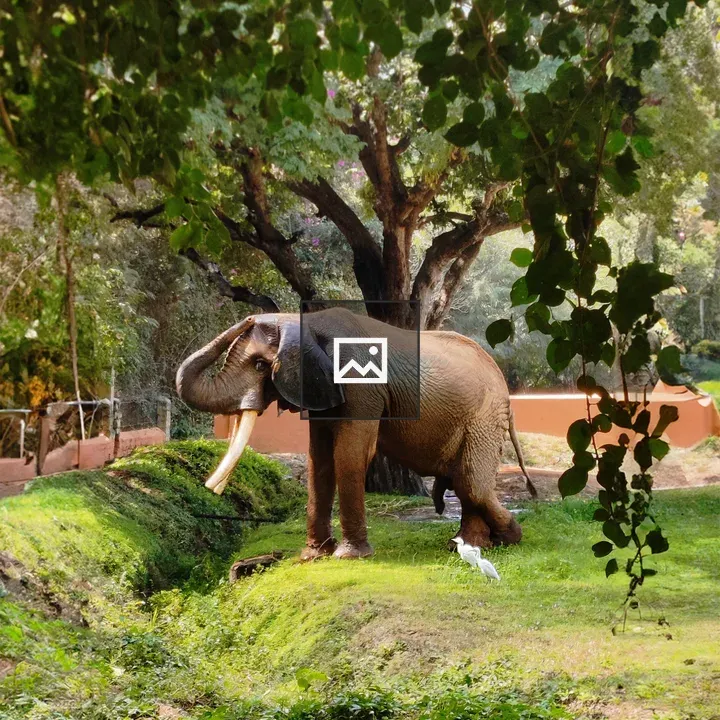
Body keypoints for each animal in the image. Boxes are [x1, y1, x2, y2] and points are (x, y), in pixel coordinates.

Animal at [176, 307, 535, 559]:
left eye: (261, 366)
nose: (248, 317)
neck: (307, 323)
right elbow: (319, 458)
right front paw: (312, 556)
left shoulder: (360, 382)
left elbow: (348, 453)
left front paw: (348, 557)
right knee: (466, 482)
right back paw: (468, 546)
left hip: (484, 417)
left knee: (470, 482)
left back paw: (508, 537)